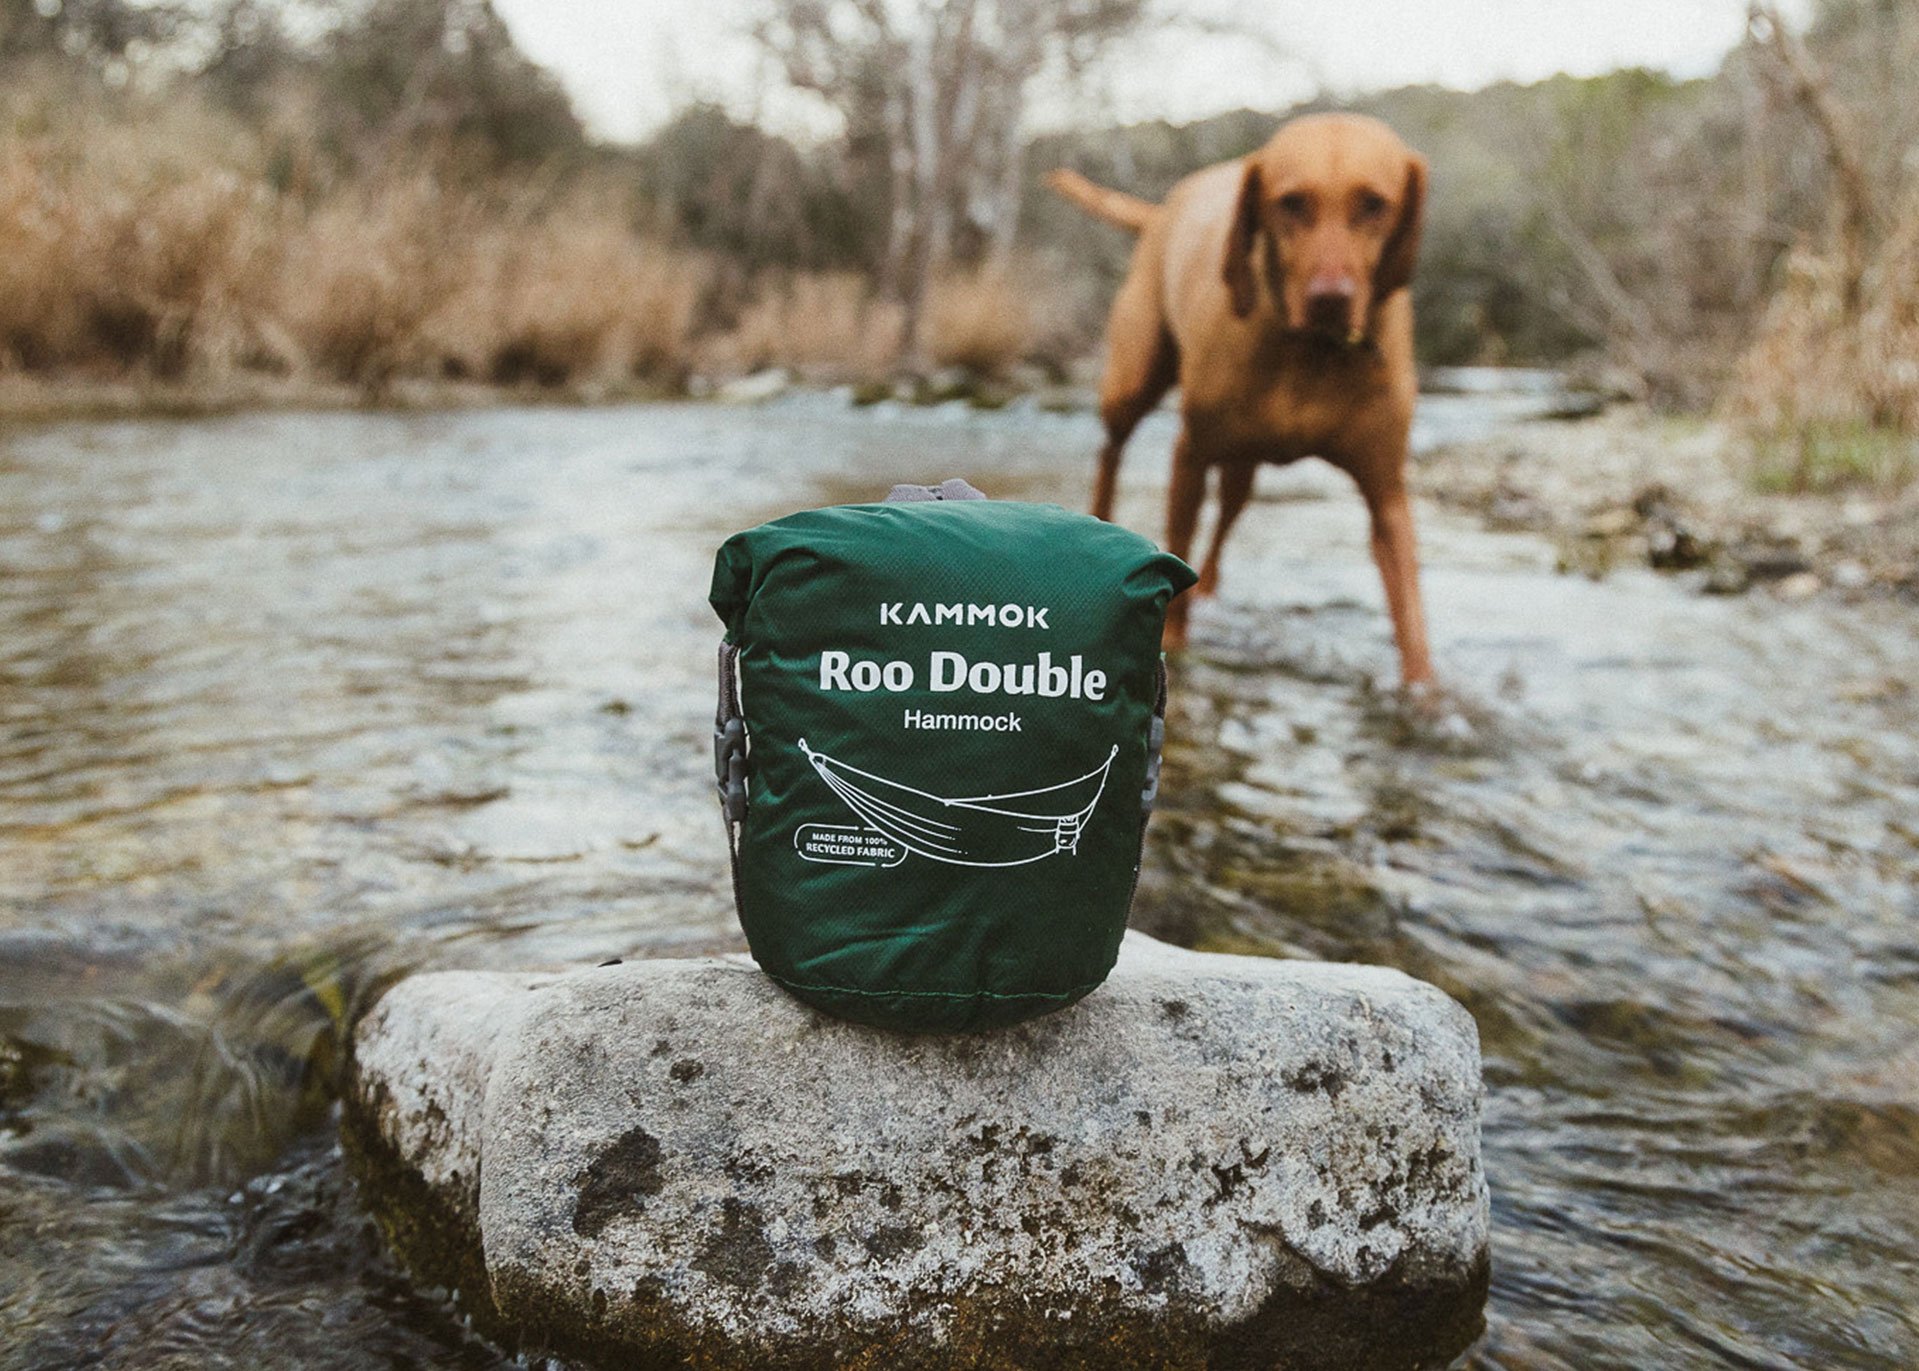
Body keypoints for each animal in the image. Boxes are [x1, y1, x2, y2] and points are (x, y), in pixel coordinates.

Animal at [1059, 113, 1435, 683]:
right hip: (1133, 380)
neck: (1311, 353)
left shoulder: (1385, 492)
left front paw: (1430, 697)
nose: (1330, 301)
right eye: (1291, 202)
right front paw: (1175, 642)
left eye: (1374, 203)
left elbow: (1411, 621)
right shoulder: (1190, 456)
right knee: (1111, 450)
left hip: (1244, 462)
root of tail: (1165, 207)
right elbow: (1177, 558)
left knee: (1225, 518)